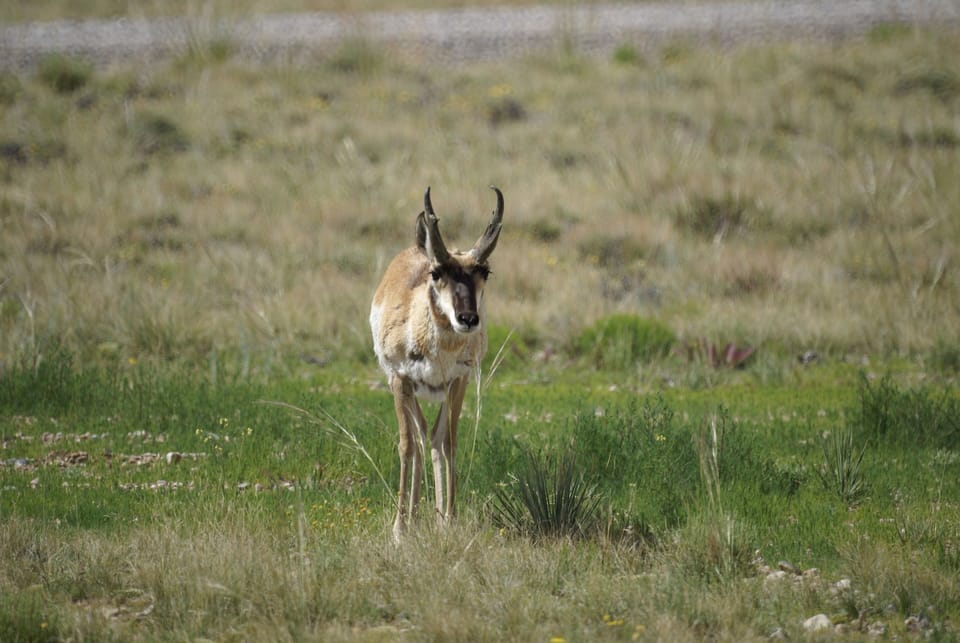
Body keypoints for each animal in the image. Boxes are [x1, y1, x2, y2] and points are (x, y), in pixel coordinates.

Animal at [370, 186, 503, 541]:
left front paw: (450, 520)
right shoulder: (400, 379)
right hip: (407, 390)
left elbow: (449, 443)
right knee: (418, 439)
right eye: (436, 273)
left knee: (431, 437)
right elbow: (405, 446)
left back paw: (435, 514)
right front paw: (399, 529)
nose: (467, 319)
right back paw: (412, 517)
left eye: (484, 271)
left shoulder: (458, 382)